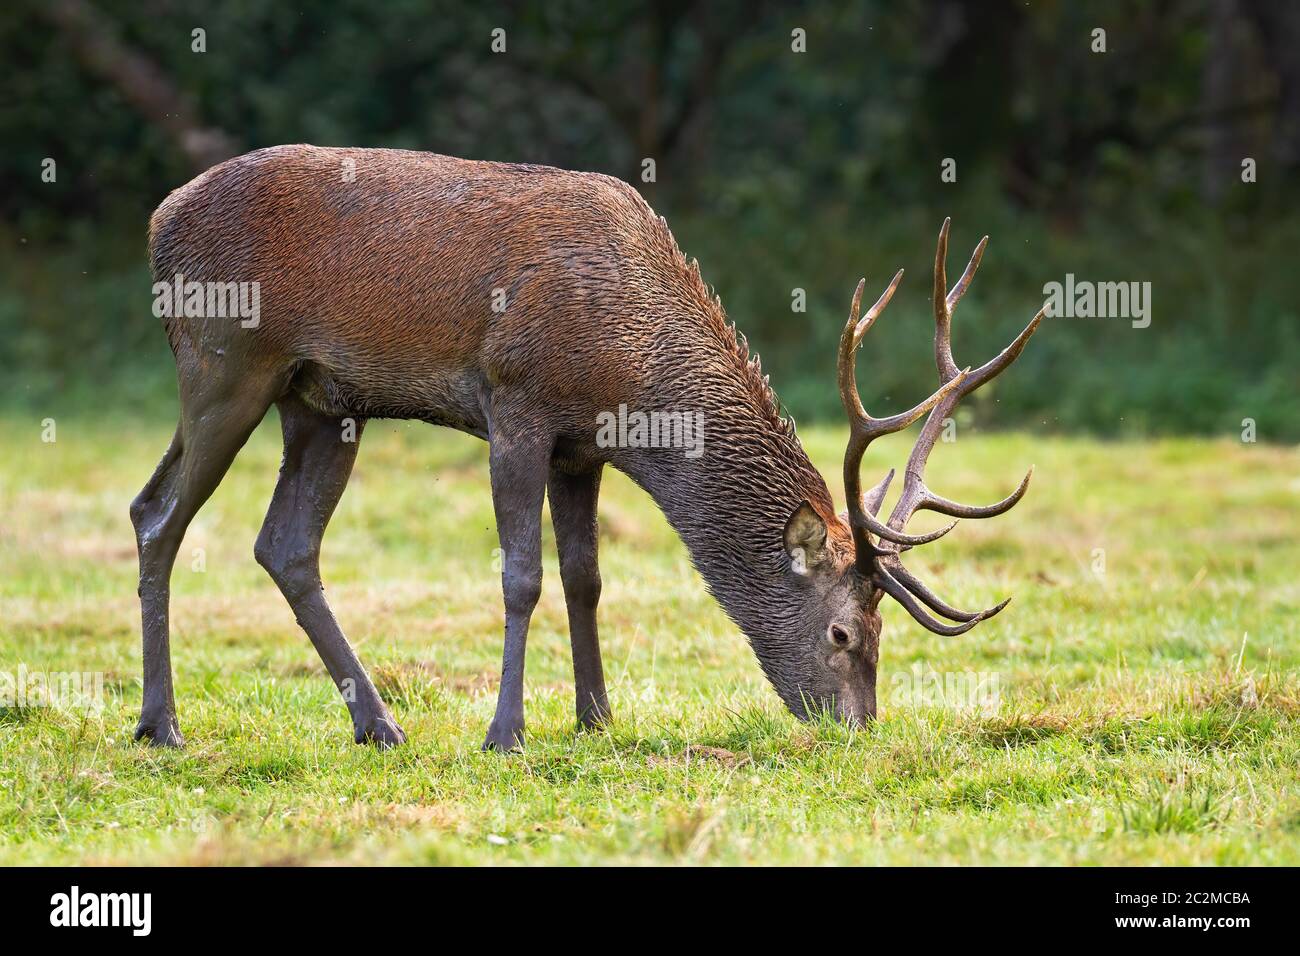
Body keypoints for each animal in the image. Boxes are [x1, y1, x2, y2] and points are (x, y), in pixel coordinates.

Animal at [131, 145, 1041, 751]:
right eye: (845, 634)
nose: (857, 729)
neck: (626, 365)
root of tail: (158, 221)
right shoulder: (516, 403)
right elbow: (522, 576)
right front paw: (506, 731)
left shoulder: (582, 447)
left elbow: (586, 578)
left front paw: (596, 716)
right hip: (223, 360)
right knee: (159, 516)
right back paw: (161, 724)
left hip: (321, 402)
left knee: (281, 543)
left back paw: (378, 724)